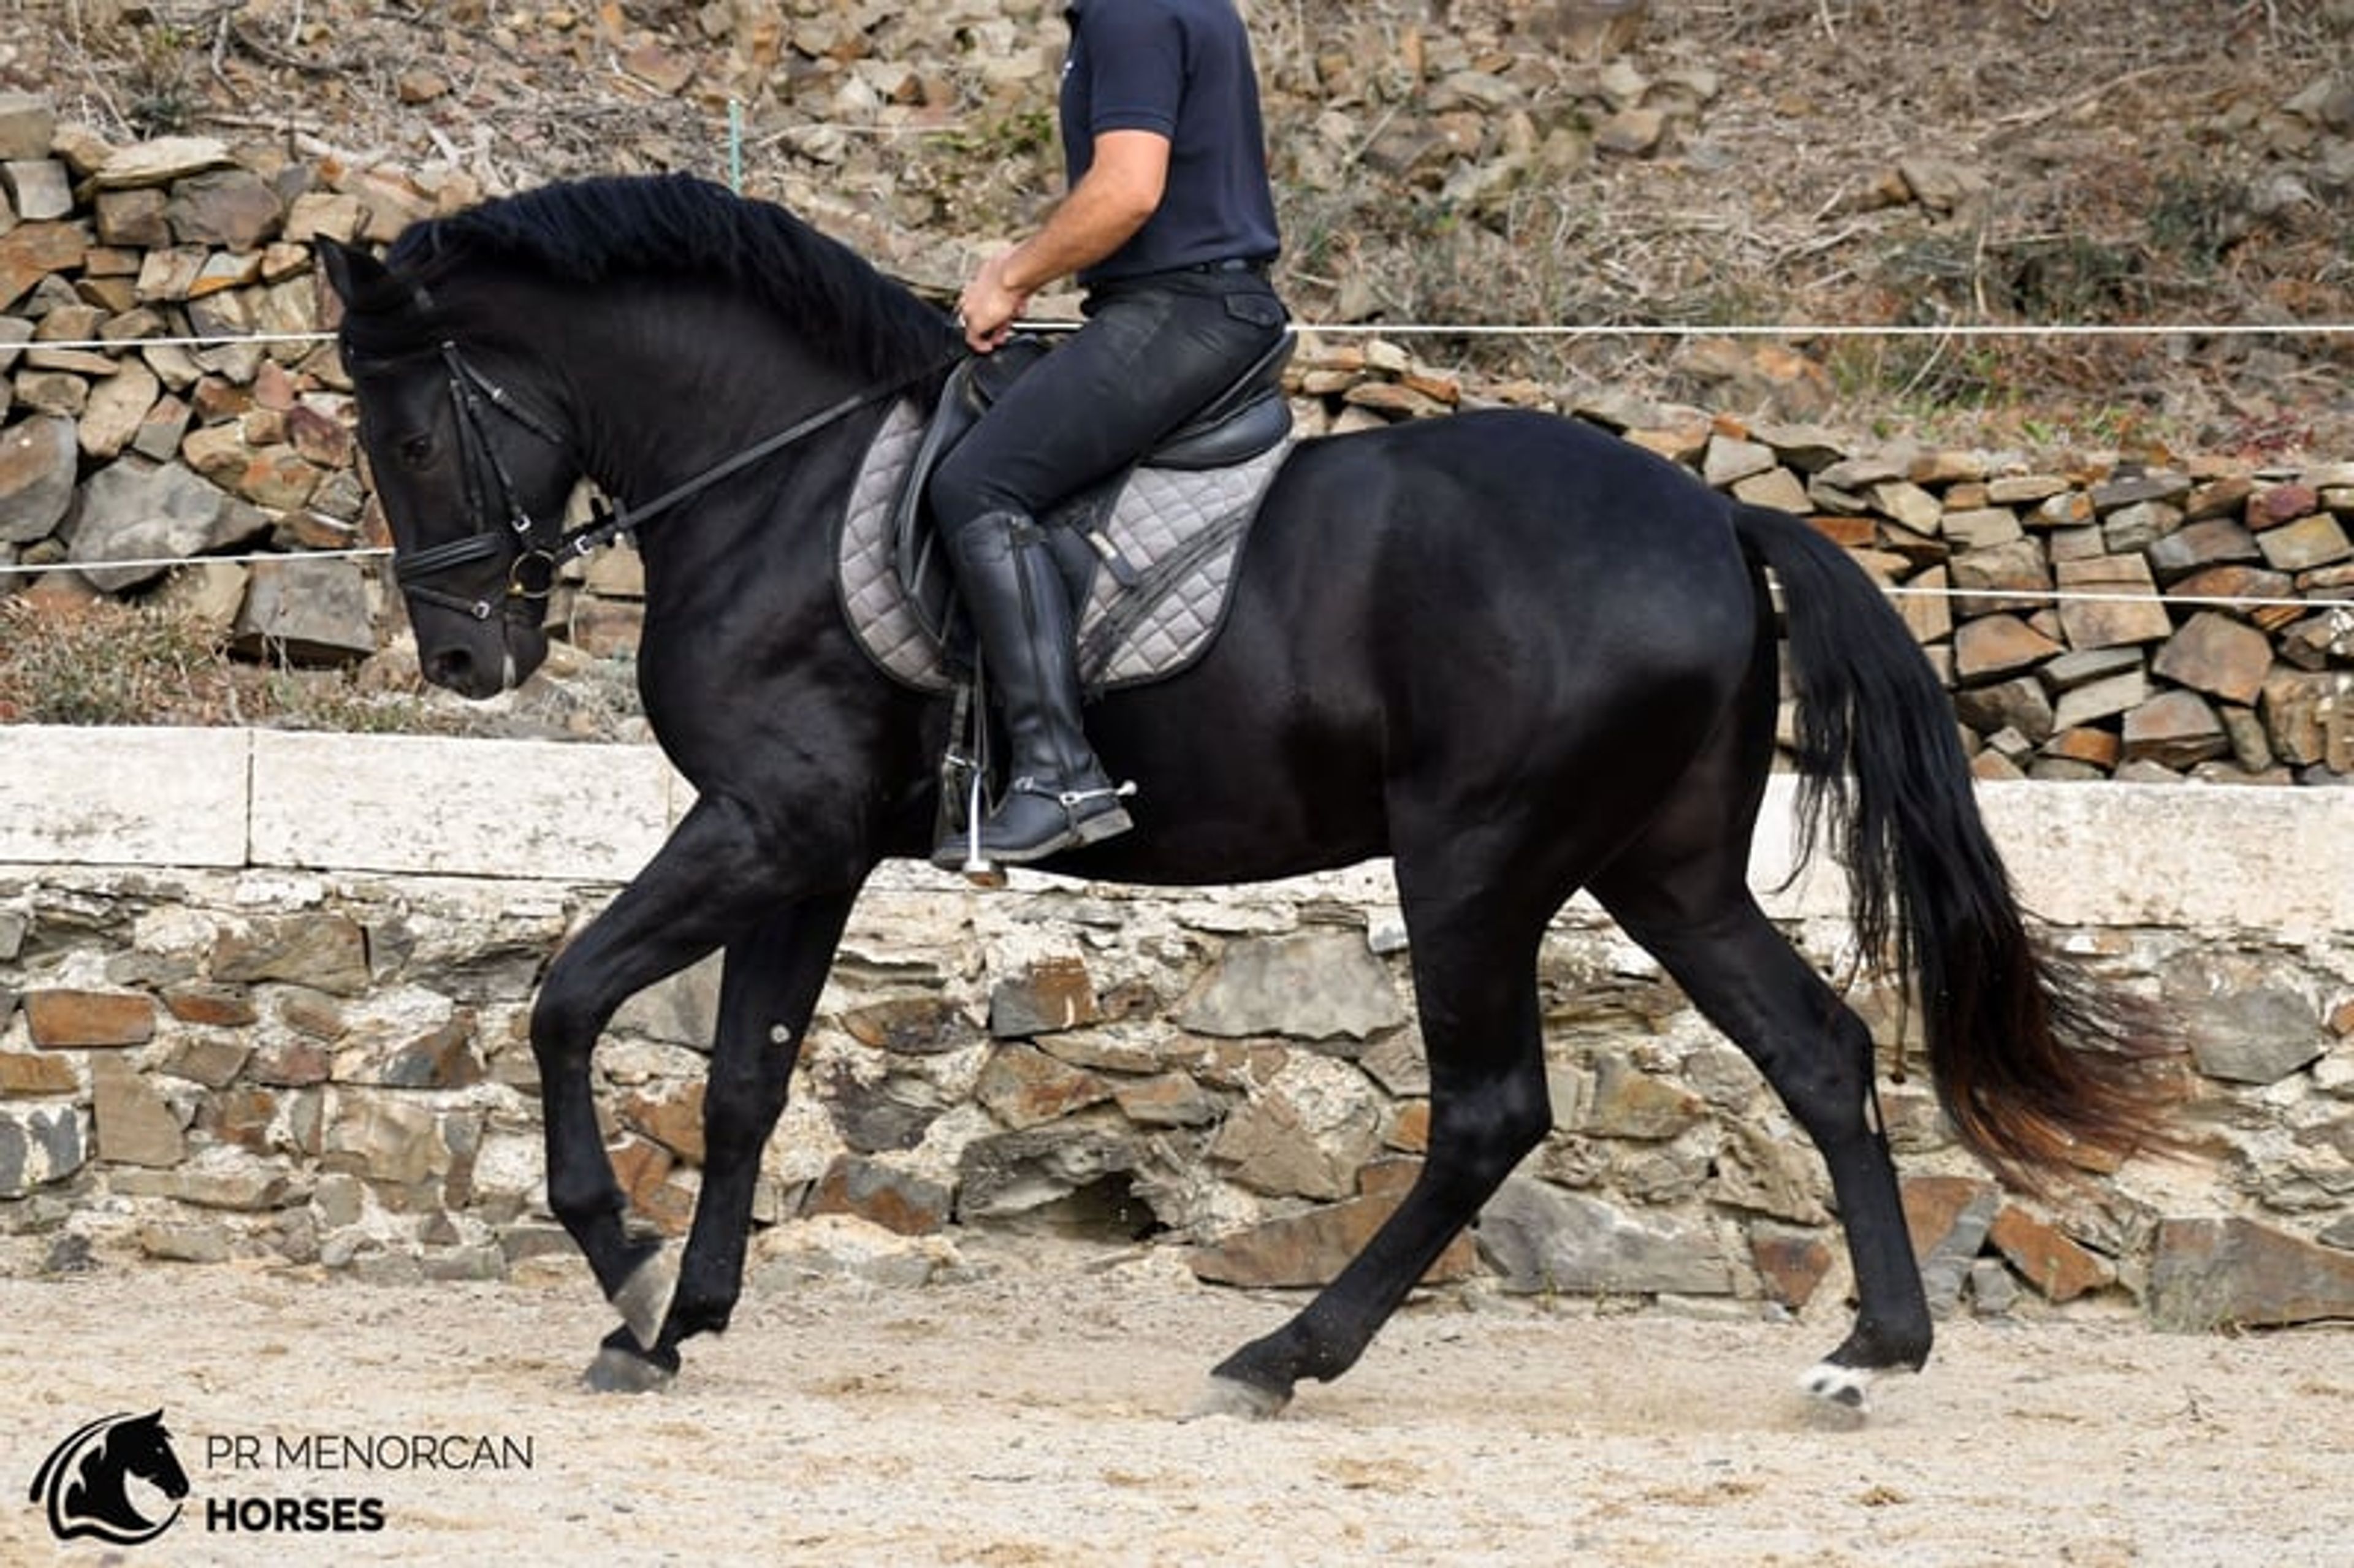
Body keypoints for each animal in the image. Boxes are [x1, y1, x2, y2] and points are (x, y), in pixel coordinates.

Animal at [320, 172, 2175, 1414]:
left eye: (404, 438)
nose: (466, 659)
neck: (777, 472)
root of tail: (1718, 514)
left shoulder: (768, 821)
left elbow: (567, 998)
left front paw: (617, 1261)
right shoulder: (814, 849)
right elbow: (742, 1081)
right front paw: (674, 1320)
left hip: (1475, 859)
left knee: (1492, 1110)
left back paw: (1285, 1352)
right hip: (1662, 868)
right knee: (1819, 1051)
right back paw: (1872, 1349)